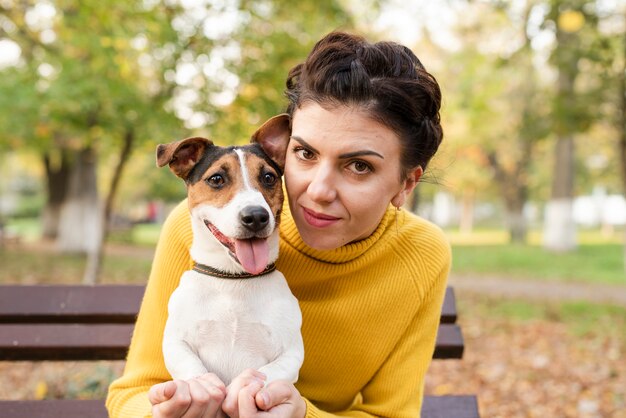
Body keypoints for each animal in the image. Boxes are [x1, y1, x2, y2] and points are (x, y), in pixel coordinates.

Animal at [155, 113, 302, 386]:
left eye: (268, 177)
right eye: (216, 179)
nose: (256, 217)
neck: (234, 279)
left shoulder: (291, 354)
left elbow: (269, 374)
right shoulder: (176, 344)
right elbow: (192, 368)